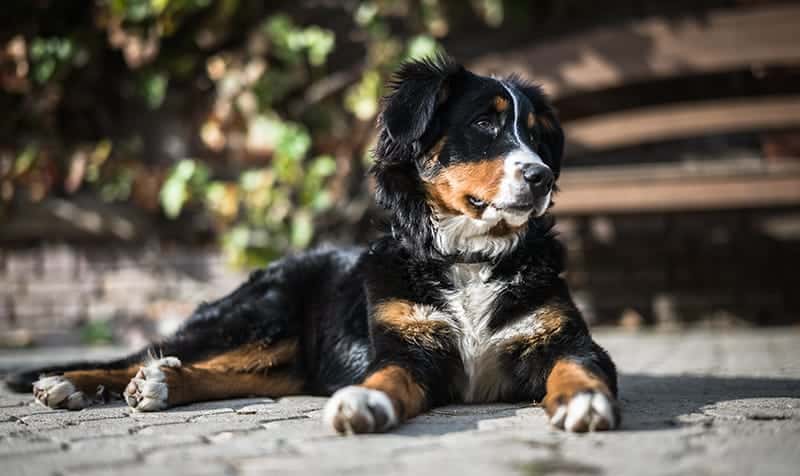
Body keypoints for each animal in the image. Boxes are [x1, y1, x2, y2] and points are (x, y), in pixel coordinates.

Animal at [4, 54, 620, 434]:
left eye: (538, 135)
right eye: (486, 125)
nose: (541, 176)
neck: (469, 259)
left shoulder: (566, 339)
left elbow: (578, 367)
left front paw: (583, 401)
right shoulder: (407, 350)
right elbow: (386, 377)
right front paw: (365, 402)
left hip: (285, 355)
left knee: (221, 373)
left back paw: (160, 384)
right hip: (260, 317)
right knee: (145, 354)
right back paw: (67, 383)